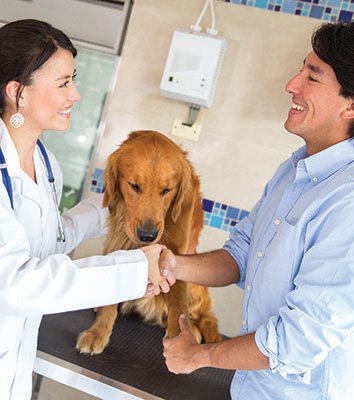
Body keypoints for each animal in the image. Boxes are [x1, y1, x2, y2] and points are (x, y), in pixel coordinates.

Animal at [76, 130, 221, 354]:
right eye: (134, 186)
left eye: (167, 190)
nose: (147, 235)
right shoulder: (118, 239)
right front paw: (98, 333)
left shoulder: (177, 255)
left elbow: (178, 305)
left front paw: (180, 341)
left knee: (208, 318)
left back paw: (197, 331)